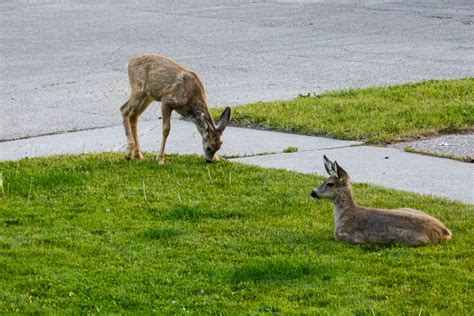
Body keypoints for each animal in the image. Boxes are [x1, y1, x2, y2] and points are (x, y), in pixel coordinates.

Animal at [310, 156, 454, 247]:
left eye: (330, 184)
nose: (313, 192)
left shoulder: (348, 237)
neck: (344, 214)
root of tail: (446, 232)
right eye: (324, 180)